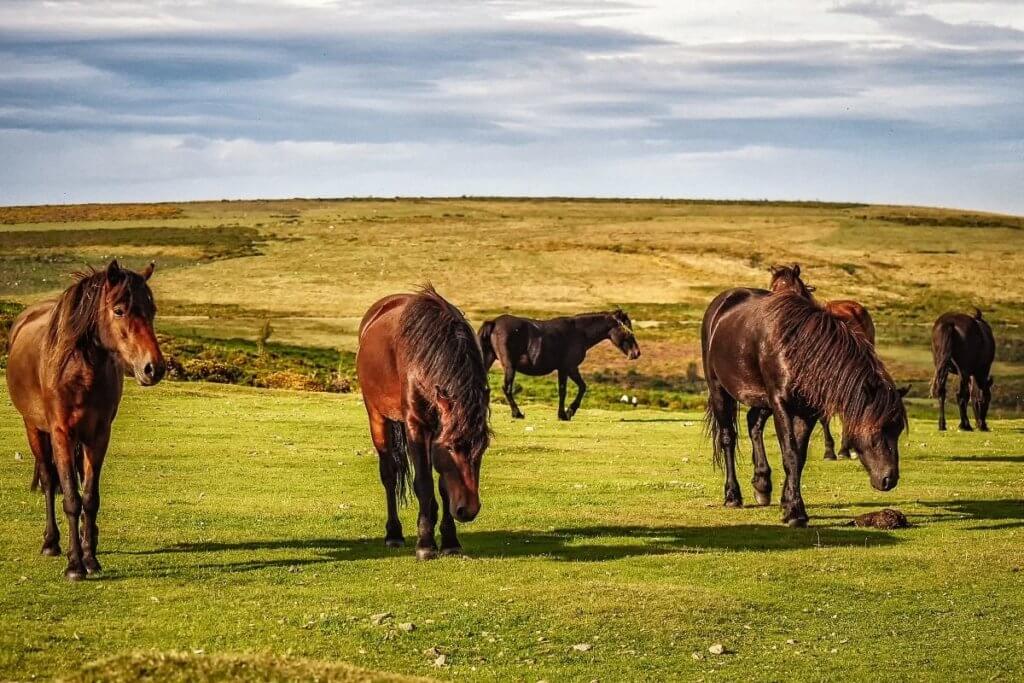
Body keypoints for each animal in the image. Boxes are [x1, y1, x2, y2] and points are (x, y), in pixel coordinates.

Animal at [6, 259, 165, 581]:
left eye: (152, 310)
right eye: (119, 310)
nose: (153, 368)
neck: (79, 370)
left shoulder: (98, 435)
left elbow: (90, 498)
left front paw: (90, 558)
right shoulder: (61, 433)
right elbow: (70, 497)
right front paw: (74, 565)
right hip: (34, 429)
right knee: (48, 479)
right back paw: (51, 542)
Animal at [356, 288, 491, 561]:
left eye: (482, 448)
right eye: (451, 447)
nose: (468, 510)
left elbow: (443, 486)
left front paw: (450, 540)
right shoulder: (417, 426)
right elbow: (424, 484)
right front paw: (425, 544)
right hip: (377, 417)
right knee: (389, 474)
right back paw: (394, 534)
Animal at [473, 311, 634, 421]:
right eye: (627, 328)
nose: (636, 353)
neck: (579, 332)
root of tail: (494, 322)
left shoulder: (569, 369)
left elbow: (580, 387)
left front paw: (567, 412)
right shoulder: (567, 368)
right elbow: (567, 390)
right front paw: (565, 413)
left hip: (489, 360)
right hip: (509, 367)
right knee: (506, 388)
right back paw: (517, 413)